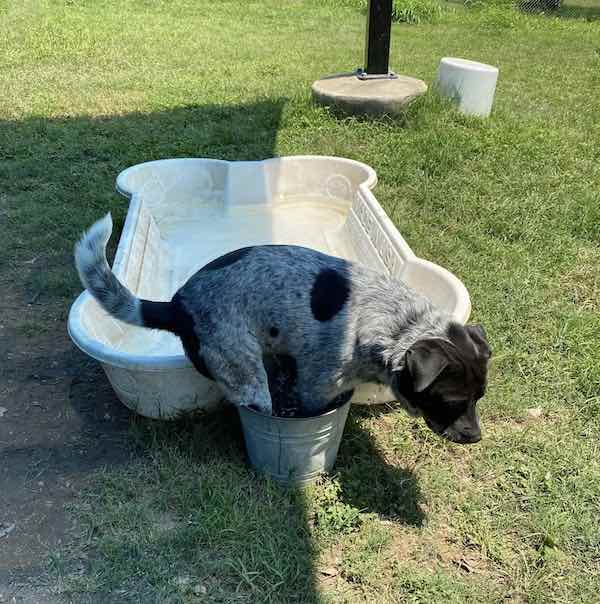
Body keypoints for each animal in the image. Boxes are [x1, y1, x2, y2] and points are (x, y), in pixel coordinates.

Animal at [75, 215, 492, 442]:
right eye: (451, 400)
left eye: (480, 398)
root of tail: (178, 305)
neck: (397, 325)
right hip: (249, 379)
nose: (476, 438)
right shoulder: (316, 387)